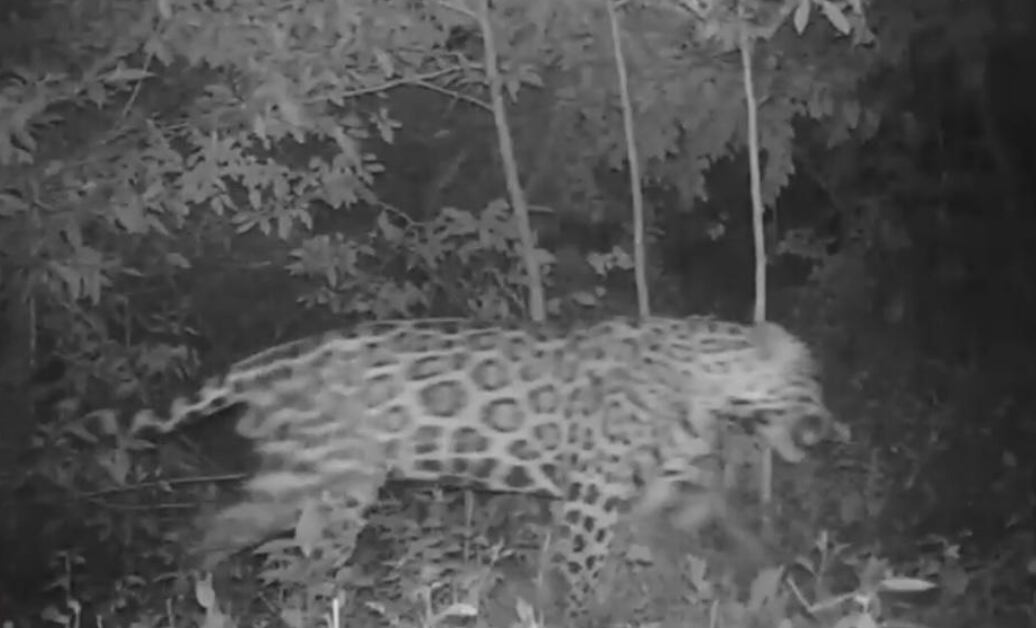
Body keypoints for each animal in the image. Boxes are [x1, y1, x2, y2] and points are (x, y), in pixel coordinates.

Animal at [130, 315, 840, 625]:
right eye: (811, 380)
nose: (831, 426)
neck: (706, 383)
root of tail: (273, 359)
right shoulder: (592, 498)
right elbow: (581, 575)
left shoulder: (668, 486)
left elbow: (722, 525)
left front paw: (771, 571)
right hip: (324, 479)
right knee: (284, 557)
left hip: (309, 482)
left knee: (223, 526)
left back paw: (195, 591)